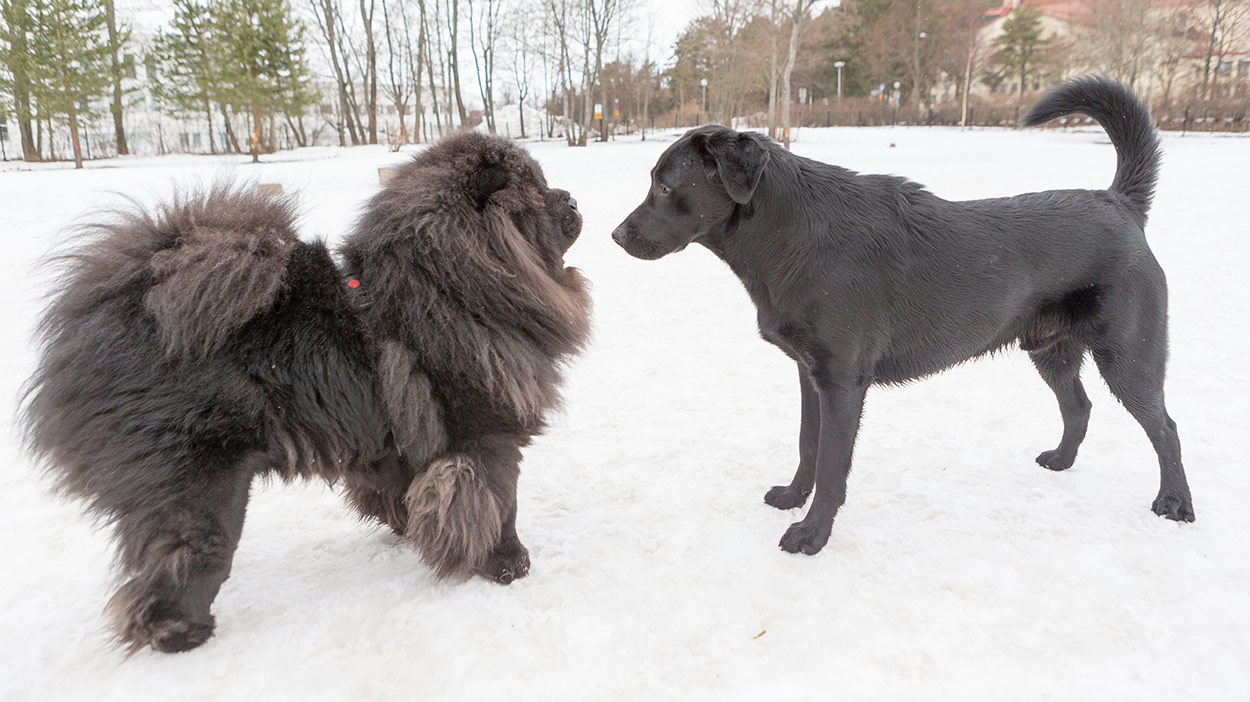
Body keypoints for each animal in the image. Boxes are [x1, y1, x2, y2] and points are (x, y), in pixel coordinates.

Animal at [23, 131, 590, 649]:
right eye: (539, 193)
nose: (573, 199)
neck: (455, 286)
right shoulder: (484, 438)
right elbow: (499, 505)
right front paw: (509, 564)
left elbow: (409, 493)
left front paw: (412, 531)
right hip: (201, 487)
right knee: (177, 567)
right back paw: (185, 633)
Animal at [610, 76, 1195, 554]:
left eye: (664, 185)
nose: (615, 235)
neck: (792, 234)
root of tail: (1119, 202)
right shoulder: (808, 374)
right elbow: (807, 445)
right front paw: (793, 497)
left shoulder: (843, 382)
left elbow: (832, 465)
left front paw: (811, 535)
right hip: (1050, 350)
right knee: (1079, 407)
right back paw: (1061, 462)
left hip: (1128, 356)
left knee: (1165, 427)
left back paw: (1175, 504)